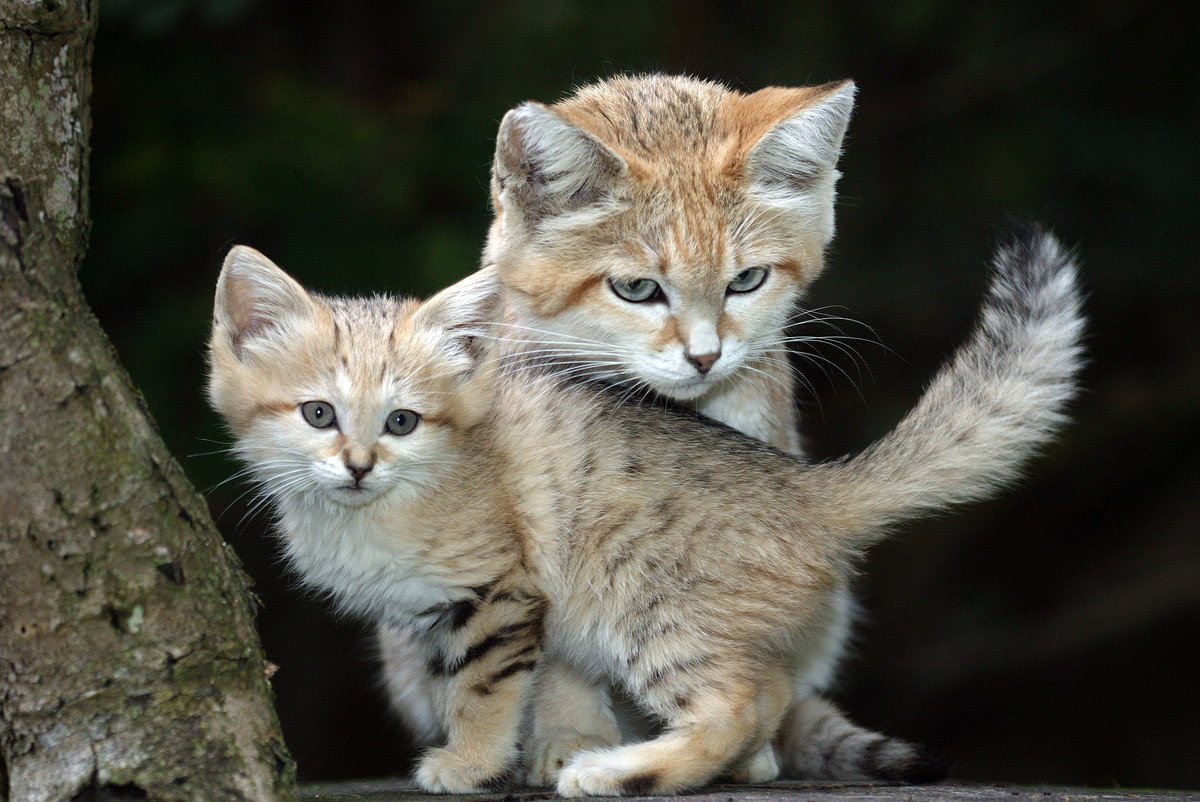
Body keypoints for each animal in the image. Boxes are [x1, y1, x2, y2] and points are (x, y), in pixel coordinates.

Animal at [208, 225, 1089, 797]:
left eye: (401, 422)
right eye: (318, 414)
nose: (357, 465)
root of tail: (803, 486)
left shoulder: (499, 594)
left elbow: (484, 689)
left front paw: (469, 764)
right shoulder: (438, 618)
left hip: (647, 607)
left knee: (737, 703)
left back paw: (621, 772)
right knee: (771, 690)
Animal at [374, 76, 926, 782]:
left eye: (747, 280)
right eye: (637, 289)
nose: (705, 357)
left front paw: (742, 750)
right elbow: (556, 656)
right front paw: (571, 736)